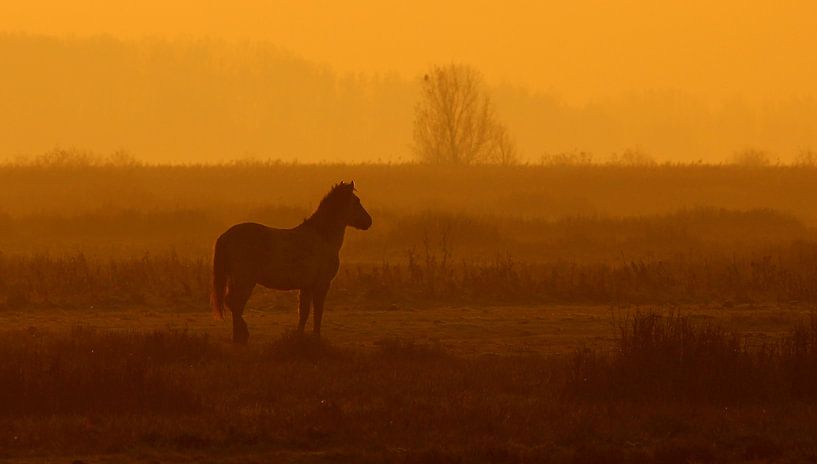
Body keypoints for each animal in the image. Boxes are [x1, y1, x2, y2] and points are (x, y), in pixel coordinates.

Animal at [212, 183, 374, 342]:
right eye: (356, 201)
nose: (368, 221)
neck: (322, 237)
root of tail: (226, 236)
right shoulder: (321, 284)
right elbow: (318, 311)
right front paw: (316, 337)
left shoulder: (306, 286)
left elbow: (304, 312)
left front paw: (299, 336)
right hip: (245, 280)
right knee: (235, 303)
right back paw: (242, 335)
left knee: (233, 303)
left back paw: (238, 337)